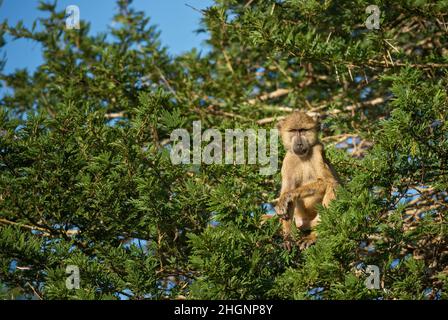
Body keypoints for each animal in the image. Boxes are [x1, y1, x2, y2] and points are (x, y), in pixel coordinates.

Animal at [272, 111, 340, 249]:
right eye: (293, 131)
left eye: (303, 130)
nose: (299, 144)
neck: (303, 156)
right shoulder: (289, 159)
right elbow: (287, 196)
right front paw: (287, 239)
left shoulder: (317, 151)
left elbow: (329, 181)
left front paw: (288, 196)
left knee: (332, 187)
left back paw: (314, 236)